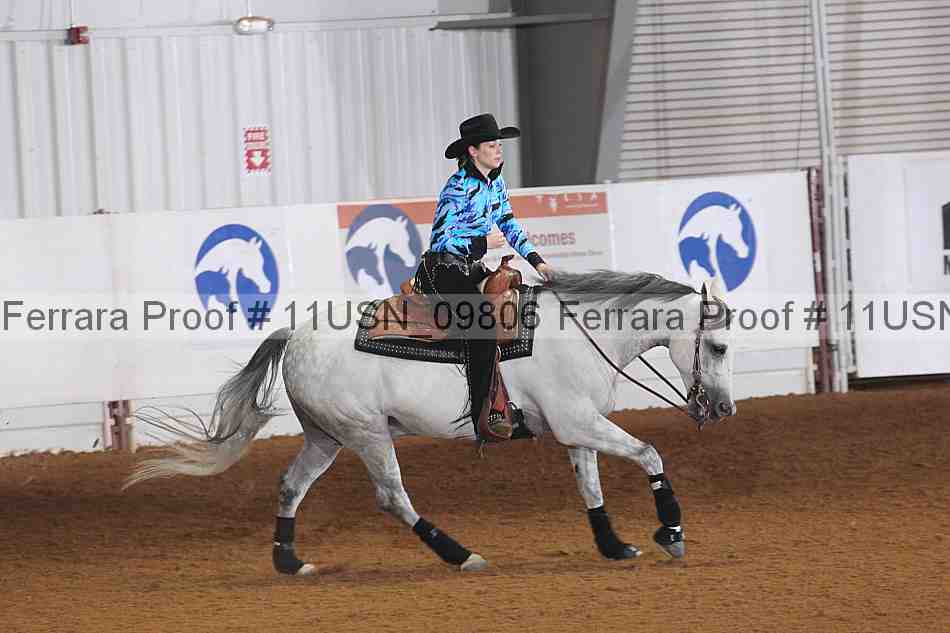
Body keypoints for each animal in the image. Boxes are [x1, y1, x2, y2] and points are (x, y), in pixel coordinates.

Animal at [127, 270, 736, 575]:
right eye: (721, 346)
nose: (725, 410)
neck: (582, 332)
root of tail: (294, 335)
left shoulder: (576, 427)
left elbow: (591, 488)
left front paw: (615, 546)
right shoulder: (580, 423)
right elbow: (650, 453)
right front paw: (671, 533)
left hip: (327, 437)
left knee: (290, 485)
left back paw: (289, 561)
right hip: (368, 434)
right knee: (393, 497)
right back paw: (460, 555)